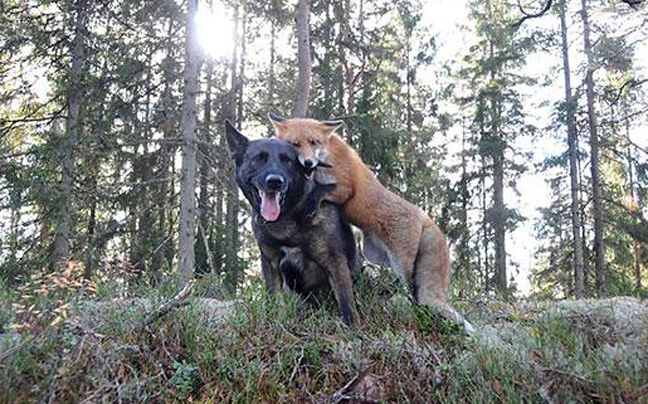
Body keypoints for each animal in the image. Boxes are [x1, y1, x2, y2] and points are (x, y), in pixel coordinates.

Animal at [224, 120, 359, 326]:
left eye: (287, 160)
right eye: (259, 158)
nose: (274, 182)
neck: (288, 216)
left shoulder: (335, 261)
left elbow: (346, 303)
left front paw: (353, 329)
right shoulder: (270, 262)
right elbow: (274, 299)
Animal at [269, 114, 474, 335]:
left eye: (314, 142)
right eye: (295, 144)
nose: (308, 163)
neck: (326, 159)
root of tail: (426, 217)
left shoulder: (346, 188)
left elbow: (324, 190)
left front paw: (312, 202)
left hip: (402, 264)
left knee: (411, 291)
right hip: (375, 255)